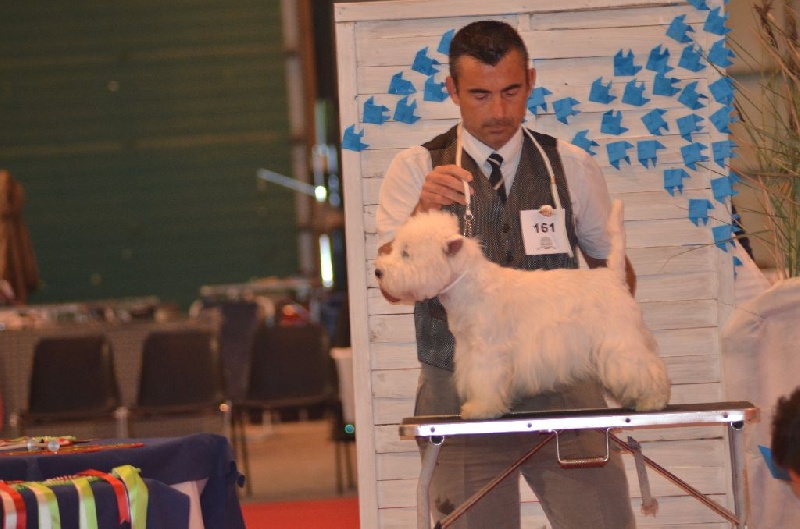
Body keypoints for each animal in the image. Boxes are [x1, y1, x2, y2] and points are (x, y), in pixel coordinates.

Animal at [374, 200, 671, 419]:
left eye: (406, 253)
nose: (378, 271)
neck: (469, 286)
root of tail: (612, 276)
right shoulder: (469, 349)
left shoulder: (488, 352)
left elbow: (485, 381)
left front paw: (480, 408)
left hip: (619, 340)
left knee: (643, 367)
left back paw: (653, 400)